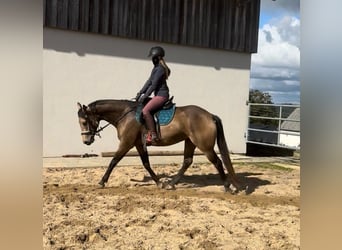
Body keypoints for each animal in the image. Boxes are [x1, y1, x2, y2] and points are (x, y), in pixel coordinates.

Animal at [77, 99, 243, 193]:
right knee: (187, 161)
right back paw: (171, 184)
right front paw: (159, 183)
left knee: (217, 162)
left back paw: (227, 186)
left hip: (204, 145)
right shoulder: (138, 144)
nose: (86, 141)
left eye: (84, 122)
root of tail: (209, 115)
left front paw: (102, 182)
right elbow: (146, 163)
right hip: (190, 141)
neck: (125, 114)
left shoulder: (126, 142)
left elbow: (114, 161)